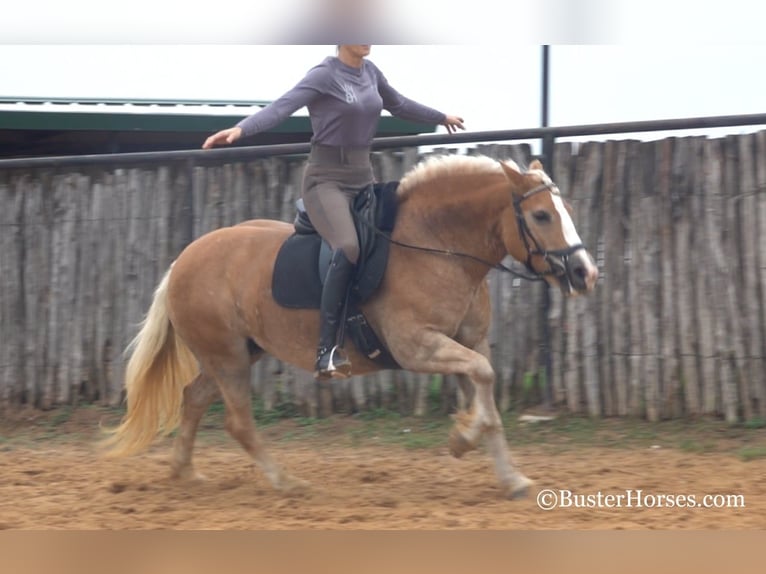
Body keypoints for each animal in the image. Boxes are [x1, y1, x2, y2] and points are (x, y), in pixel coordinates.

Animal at [103, 155, 600, 502]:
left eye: (569, 209)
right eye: (541, 216)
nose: (585, 273)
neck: (436, 246)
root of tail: (182, 260)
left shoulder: (467, 341)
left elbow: (488, 399)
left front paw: (508, 476)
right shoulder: (418, 347)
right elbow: (484, 379)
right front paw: (463, 439)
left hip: (237, 353)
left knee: (193, 398)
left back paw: (185, 472)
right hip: (228, 358)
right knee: (238, 422)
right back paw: (287, 483)